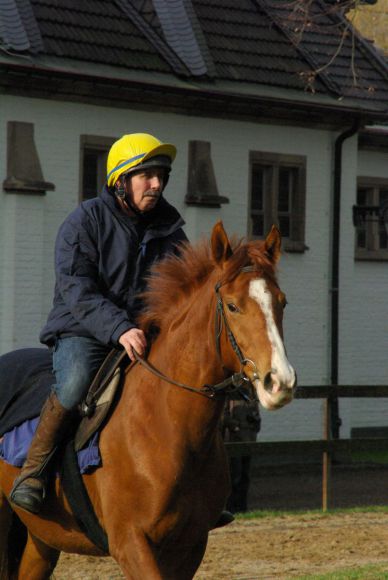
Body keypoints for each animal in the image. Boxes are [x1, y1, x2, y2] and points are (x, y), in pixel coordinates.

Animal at [0, 220, 294, 576]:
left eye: (281, 302)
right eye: (233, 306)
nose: (279, 381)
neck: (168, 424)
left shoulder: (190, 546)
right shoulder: (130, 543)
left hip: (42, 539)